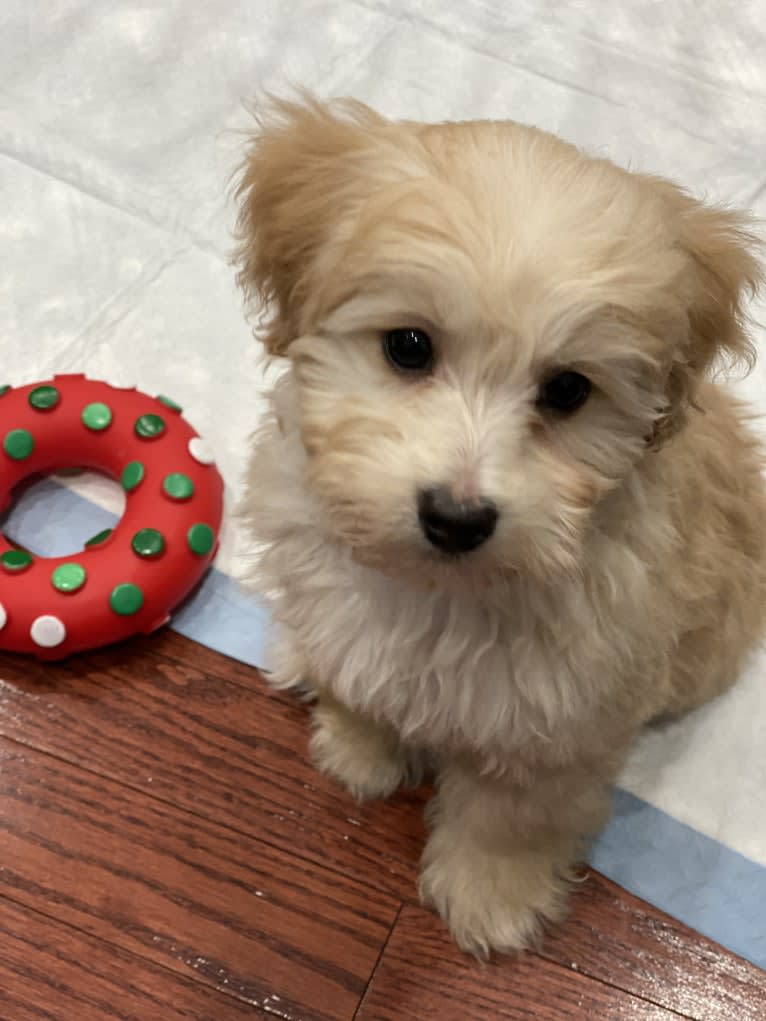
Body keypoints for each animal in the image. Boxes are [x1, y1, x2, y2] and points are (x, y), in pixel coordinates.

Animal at [233, 95, 766, 955]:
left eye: (569, 390)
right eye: (408, 346)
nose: (456, 517)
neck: (445, 587)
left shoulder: (565, 715)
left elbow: (515, 813)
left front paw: (491, 894)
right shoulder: (336, 594)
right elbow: (357, 672)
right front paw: (359, 747)